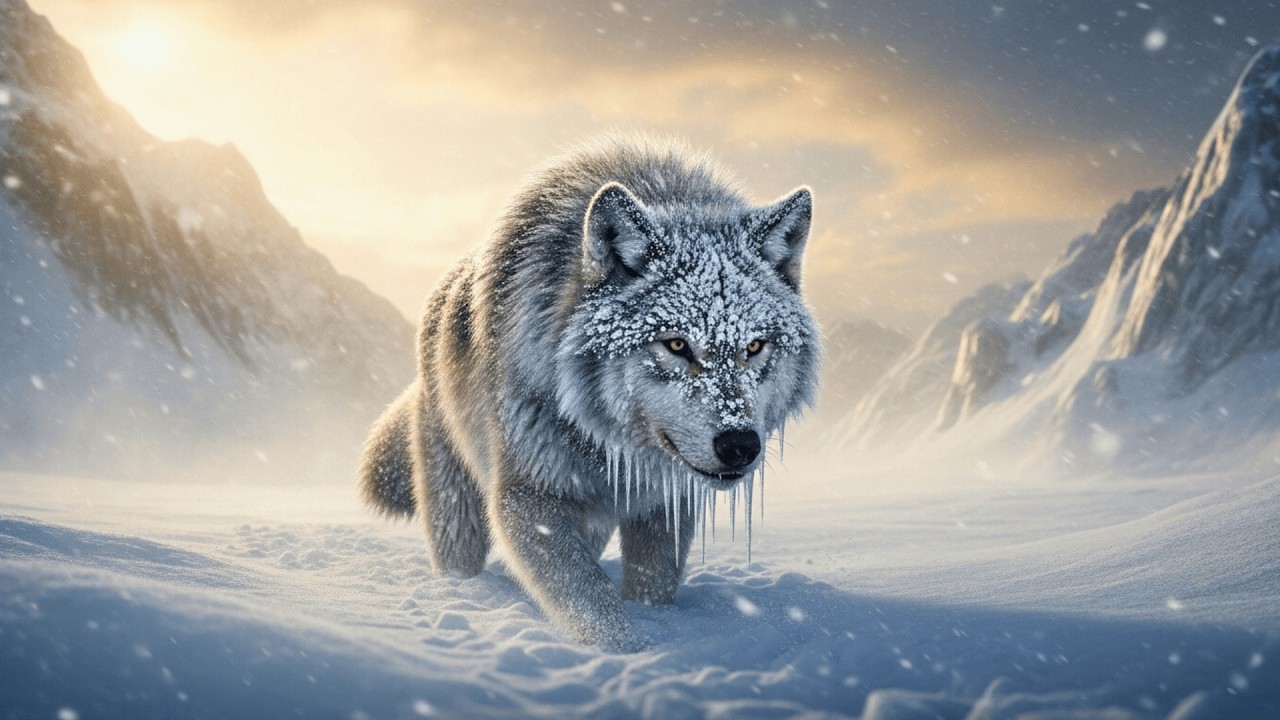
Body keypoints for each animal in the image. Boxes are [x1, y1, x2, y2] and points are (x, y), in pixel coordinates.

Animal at [358, 136, 819, 650]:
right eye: (677, 345)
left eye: (754, 347)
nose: (740, 445)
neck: (613, 443)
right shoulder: (527, 497)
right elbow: (590, 598)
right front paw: (631, 654)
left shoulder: (667, 498)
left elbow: (653, 582)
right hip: (458, 502)